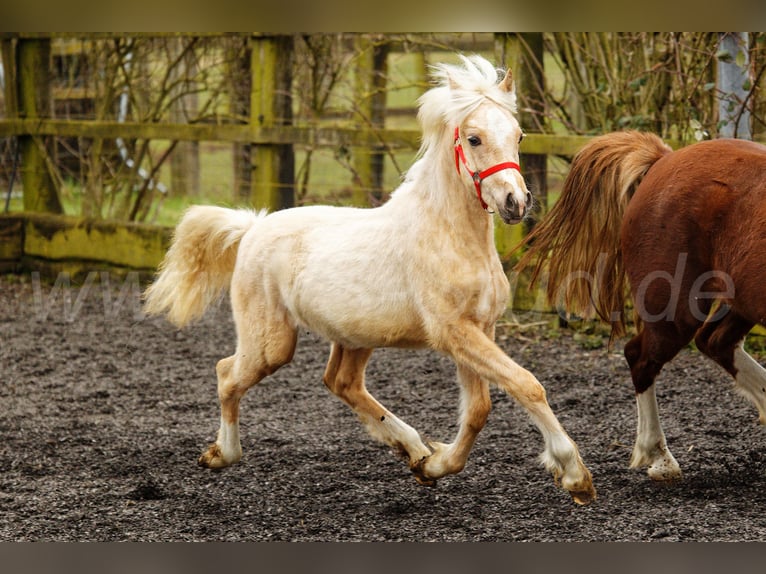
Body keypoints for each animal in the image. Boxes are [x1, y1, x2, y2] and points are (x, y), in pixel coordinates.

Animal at [146, 54, 600, 504]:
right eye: (474, 139)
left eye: (519, 136)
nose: (515, 202)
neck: (449, 234)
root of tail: (253, 227)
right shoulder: (454, 331)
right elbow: (526, 385)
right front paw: (574, 475)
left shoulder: (478, 329)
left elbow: (478, 411)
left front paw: (435, 465)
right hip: (271, 344)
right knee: (228, 373)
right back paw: (221, 455)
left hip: (354, 336)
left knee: (341, 382)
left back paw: (414, 449)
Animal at [520, 130, 766, 482]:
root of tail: (664, 158)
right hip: (675, 307)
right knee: (642, 357)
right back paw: (659, 457)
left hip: (739, 301)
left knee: (715, 341)